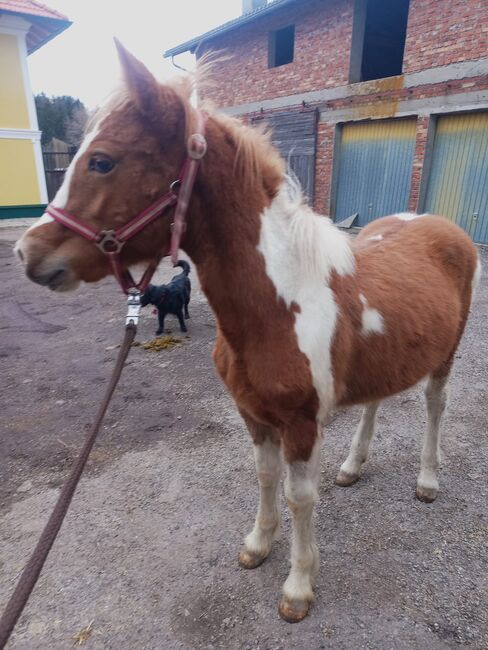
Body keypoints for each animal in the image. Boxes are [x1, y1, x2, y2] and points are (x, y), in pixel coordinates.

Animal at [15, 43, 480, 620]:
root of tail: (439, 223)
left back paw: (428, 480)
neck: (279, 303)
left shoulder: (300, 424)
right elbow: (264, 476)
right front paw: (258, 545)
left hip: (446, 355)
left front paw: (298, 586)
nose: (27, 253)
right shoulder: (253, 415)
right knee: (375, 401)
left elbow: (300, 497)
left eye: (102, 160)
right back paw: (353, 465)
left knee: (436, 405)